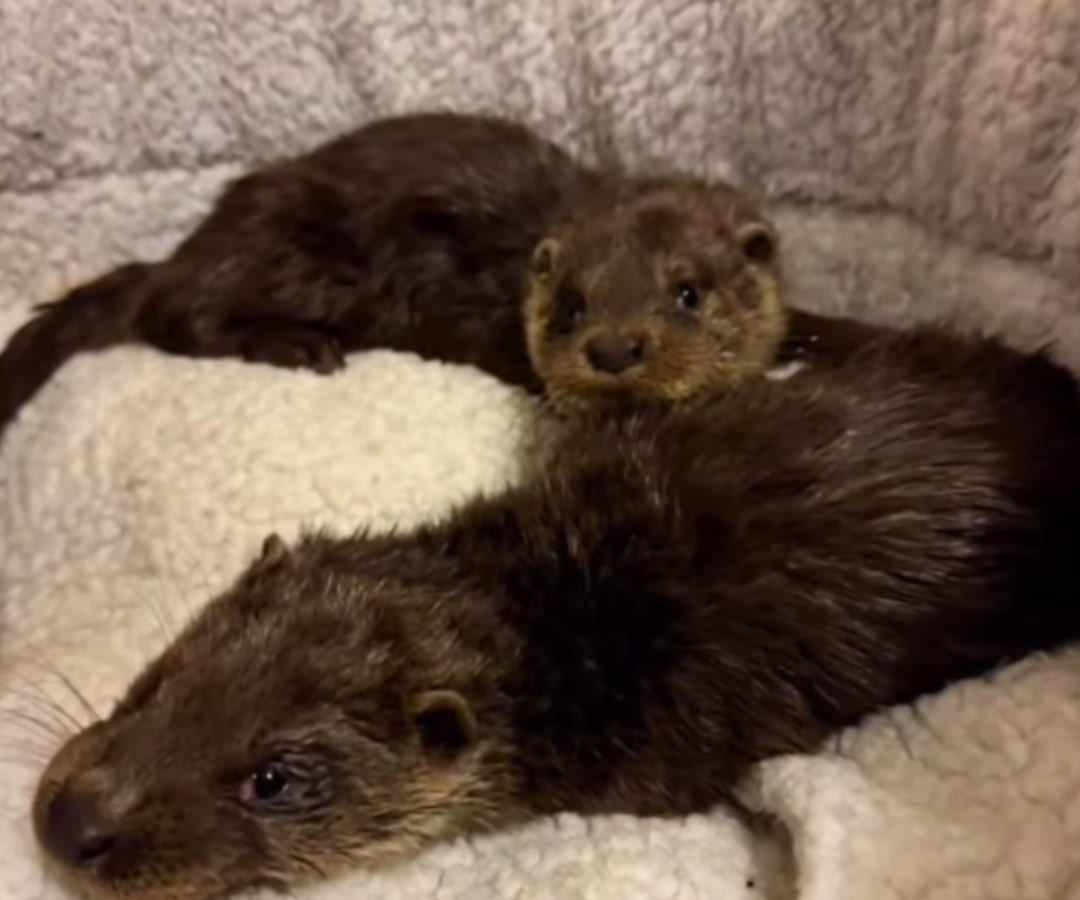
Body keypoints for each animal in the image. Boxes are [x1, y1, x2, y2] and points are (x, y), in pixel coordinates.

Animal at [0, 111, 788, 441]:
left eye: (688, 291)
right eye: (570, 306)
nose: (615, 350)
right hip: (286, 248)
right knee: (175, 312)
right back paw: (298, 345)